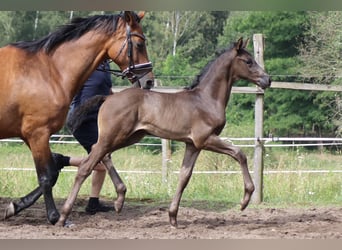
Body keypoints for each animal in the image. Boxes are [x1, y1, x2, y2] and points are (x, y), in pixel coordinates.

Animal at [1, 10, 154, 225]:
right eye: (140, 44)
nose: (149, 81)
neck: (49, 71)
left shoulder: (31, 135)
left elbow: (53, 170)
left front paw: (15, 206)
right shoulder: (38, 133)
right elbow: (47, 176)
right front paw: (54, 216)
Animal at [55, 38, 270, 228]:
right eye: (248, 61)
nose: (267, 79)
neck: (206, 99)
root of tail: (108, 98)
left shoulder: (192, 145)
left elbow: (184, 177)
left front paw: (173, 217)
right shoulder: (205, 139)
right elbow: (239, 153)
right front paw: (245, 199)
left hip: (128, 137)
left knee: (100, 154)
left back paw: (120, 198)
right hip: (114, 136)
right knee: (86, 166)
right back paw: (63, 216)